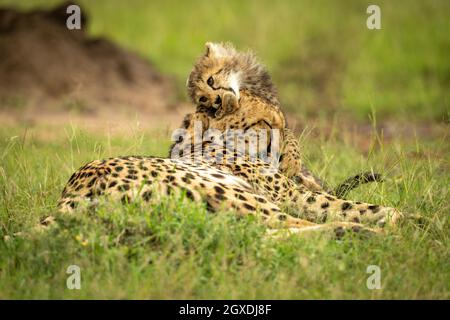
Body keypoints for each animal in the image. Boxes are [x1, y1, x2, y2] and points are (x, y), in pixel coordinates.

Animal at [55, 43, 400, 235]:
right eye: (266, 123)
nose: (289, 161)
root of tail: (73, 191)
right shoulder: (290, 195)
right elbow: (351, 205)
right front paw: (402, 218)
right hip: (236, 196)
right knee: (282, 227)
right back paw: (369, 235)